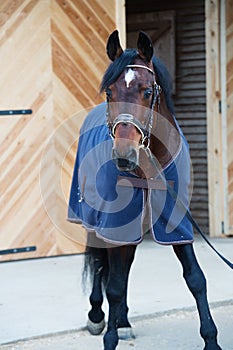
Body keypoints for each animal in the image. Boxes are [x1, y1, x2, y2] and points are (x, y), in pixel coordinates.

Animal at [68, 30, 222, 350]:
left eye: (148, 92)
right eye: (109, 92)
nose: (124, 155)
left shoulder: (177, 223)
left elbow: (195, 278)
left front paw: (211, 340)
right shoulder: (113, 224)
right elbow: (114, 285)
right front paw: (110, 338)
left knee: (124, 267)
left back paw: (124, 321)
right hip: (96, 221)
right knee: (102, 266)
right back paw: (98, 316)